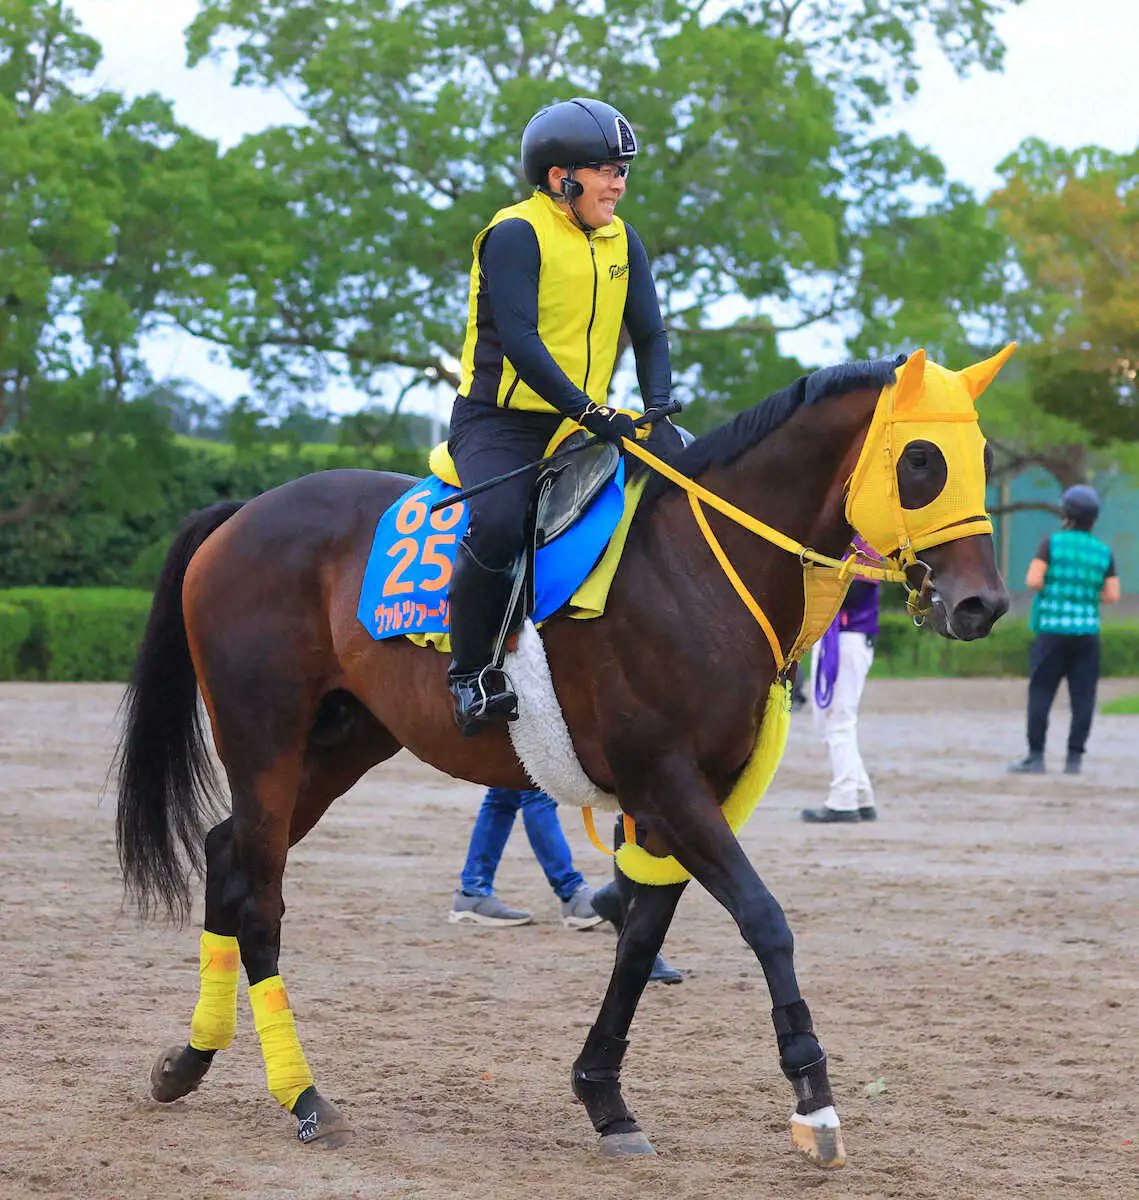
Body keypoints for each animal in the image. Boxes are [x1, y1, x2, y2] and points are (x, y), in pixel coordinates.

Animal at [115, 345, 1012, 1166]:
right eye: (920, 461)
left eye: (981, 457)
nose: (982, 604)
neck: (695, 568)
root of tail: (242, 514)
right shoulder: (669, 785)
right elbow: (763, 919)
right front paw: (812, 1098)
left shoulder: (677, 802)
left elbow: (641, 938)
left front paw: (603, 1097)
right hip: (263, 739)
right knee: (261, 898)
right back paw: (303, 1096)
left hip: (340, 746)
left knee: (225, 855)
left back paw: (189, 1060)